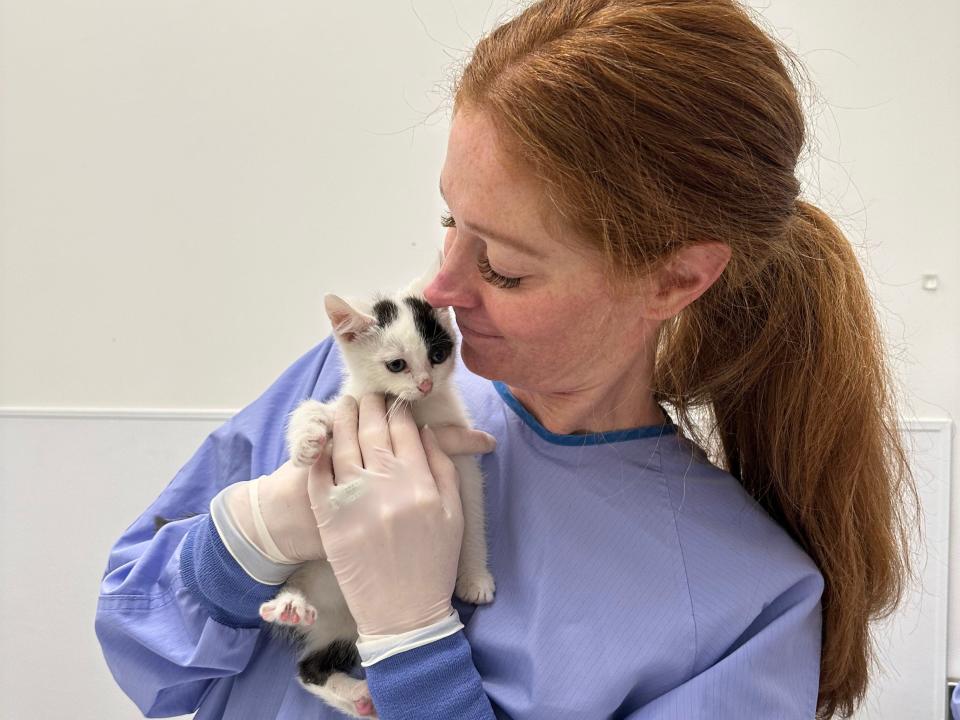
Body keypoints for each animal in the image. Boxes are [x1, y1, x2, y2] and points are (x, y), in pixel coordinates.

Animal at [256, 272, 496, 716]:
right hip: (312, 574)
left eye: (438, 354)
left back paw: (356, 696)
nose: (425, 384)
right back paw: (290, 605)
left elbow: (472, 518)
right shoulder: (348, 410)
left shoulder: (463, 461)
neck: (408, 412)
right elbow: (312, 410)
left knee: (309, 668)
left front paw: (474, 576)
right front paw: (306, 443)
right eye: (397, 364)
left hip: (346, 628)